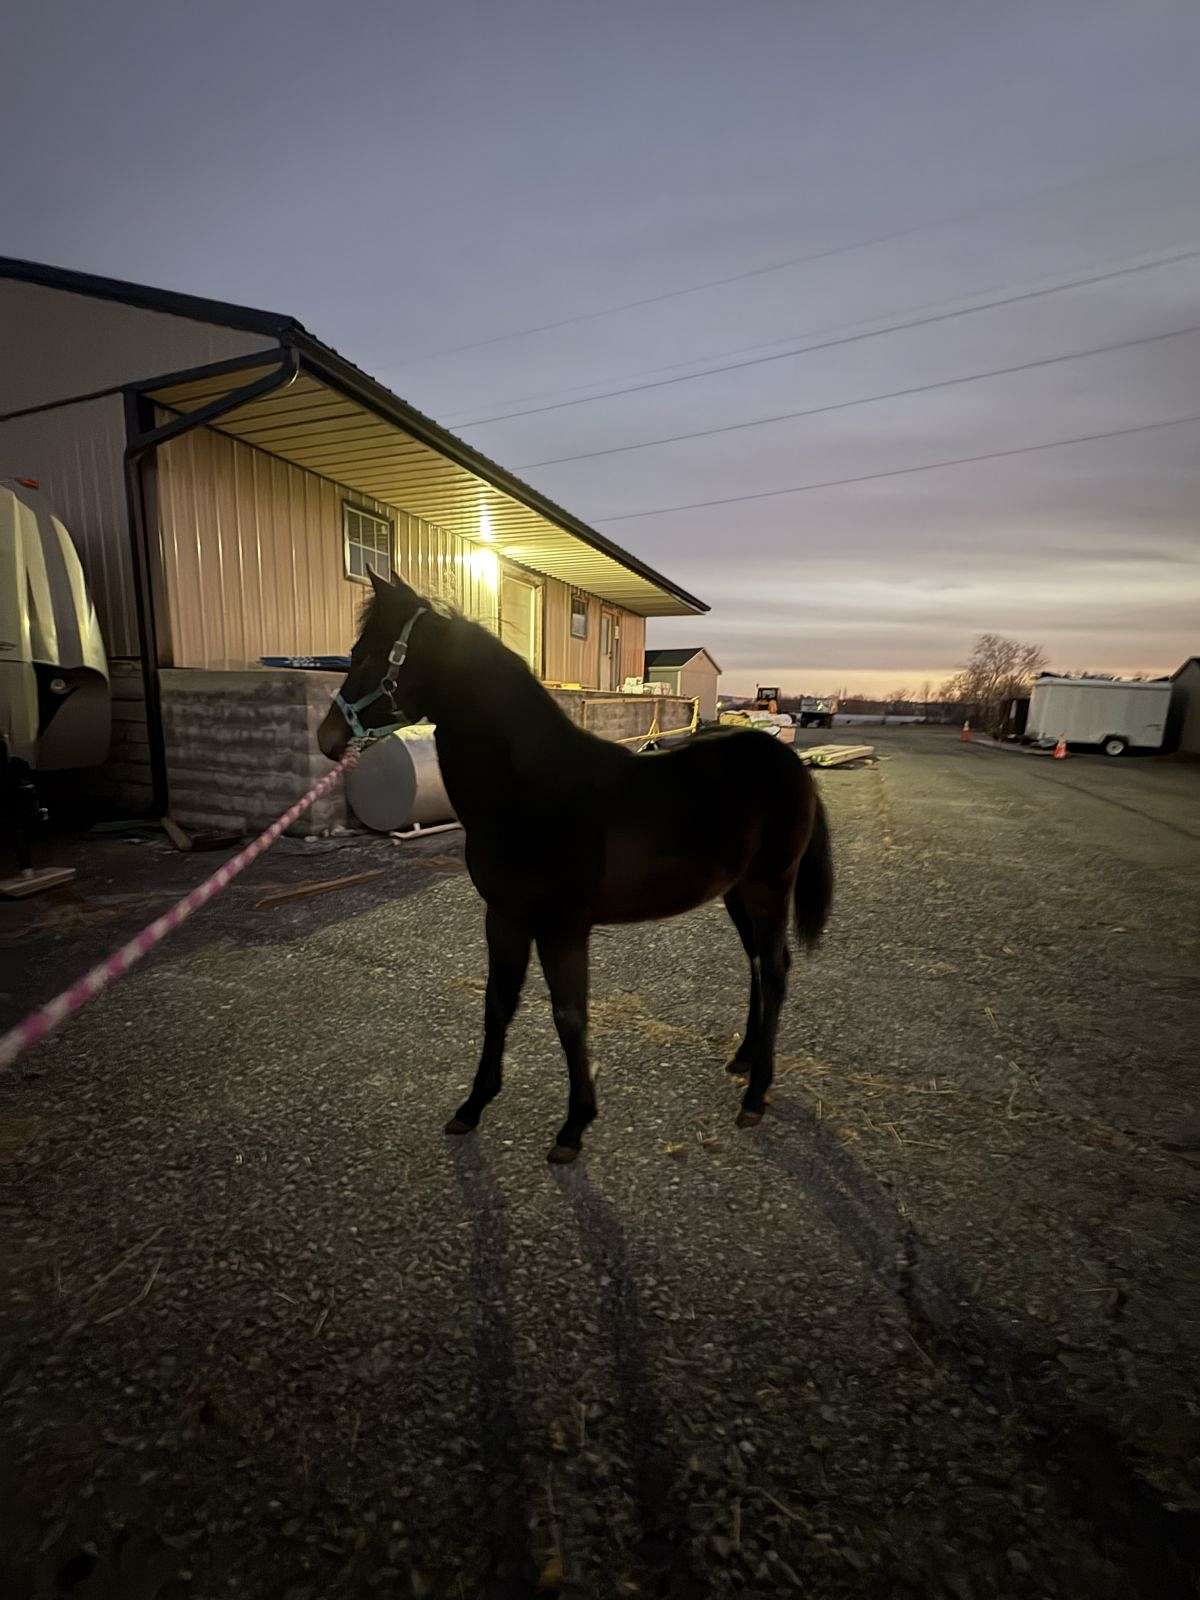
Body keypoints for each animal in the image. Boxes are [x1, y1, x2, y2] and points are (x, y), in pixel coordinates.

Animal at [318, 569, 833, 1164]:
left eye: (372, 653)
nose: (327, 739)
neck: (533, 789)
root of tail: (789, 762)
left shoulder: (563, 925)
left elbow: (569, 1014)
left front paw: (574, 1125)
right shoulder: (505, 916)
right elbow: (499, 1003)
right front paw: (473, 1105)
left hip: (770, 887)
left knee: (774, 970)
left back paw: (755, 1096)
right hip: (738, 891)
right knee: (757, 965)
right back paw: (744, 1060)